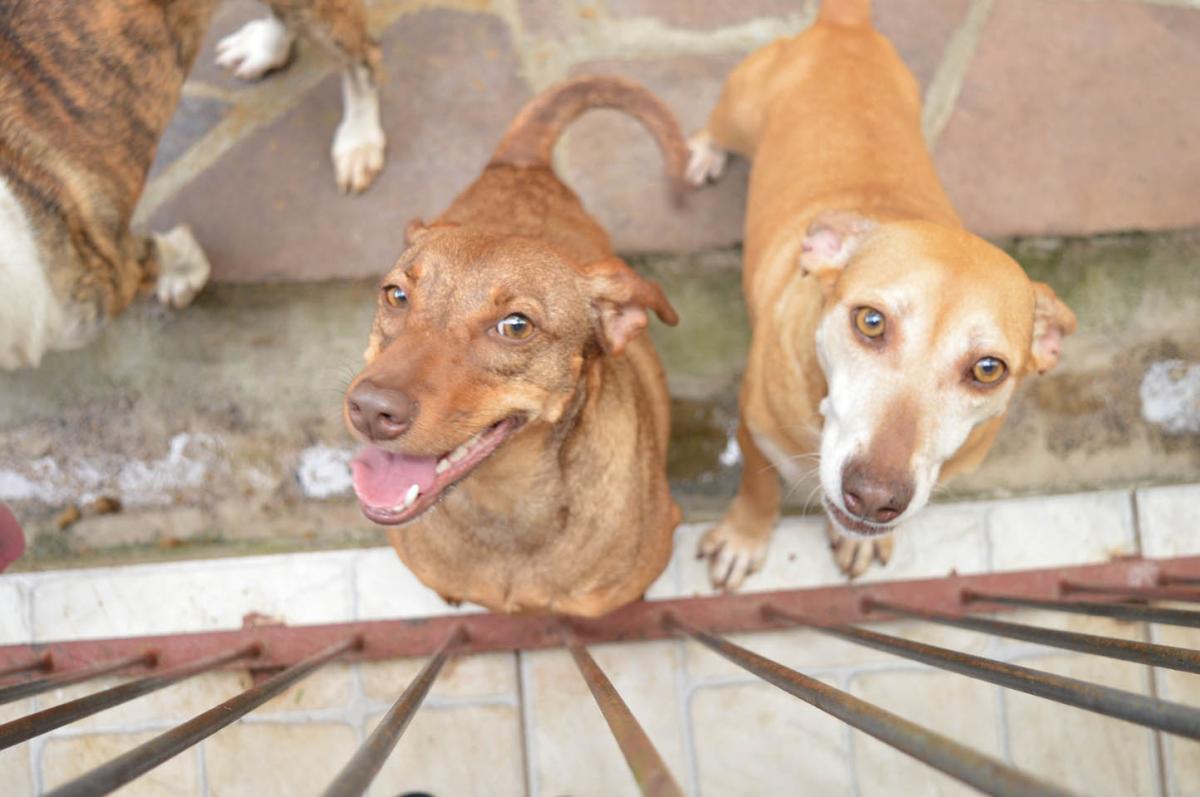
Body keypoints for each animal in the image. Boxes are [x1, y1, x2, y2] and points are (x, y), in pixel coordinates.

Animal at [0, 0, 381, 372]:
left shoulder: (110, 272)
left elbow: (169, 253)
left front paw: (184, 276)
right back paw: (263, 47)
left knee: (362, 59)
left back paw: (359, 139)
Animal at [686, 0, 1080, 585]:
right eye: (870, 321)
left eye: (988, 369)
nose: (873, 497)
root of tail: (844, 26)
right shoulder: (752, 426)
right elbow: (758, 484)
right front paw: (743, 539)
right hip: (738, 108)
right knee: (716, 129)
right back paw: (705, 153)